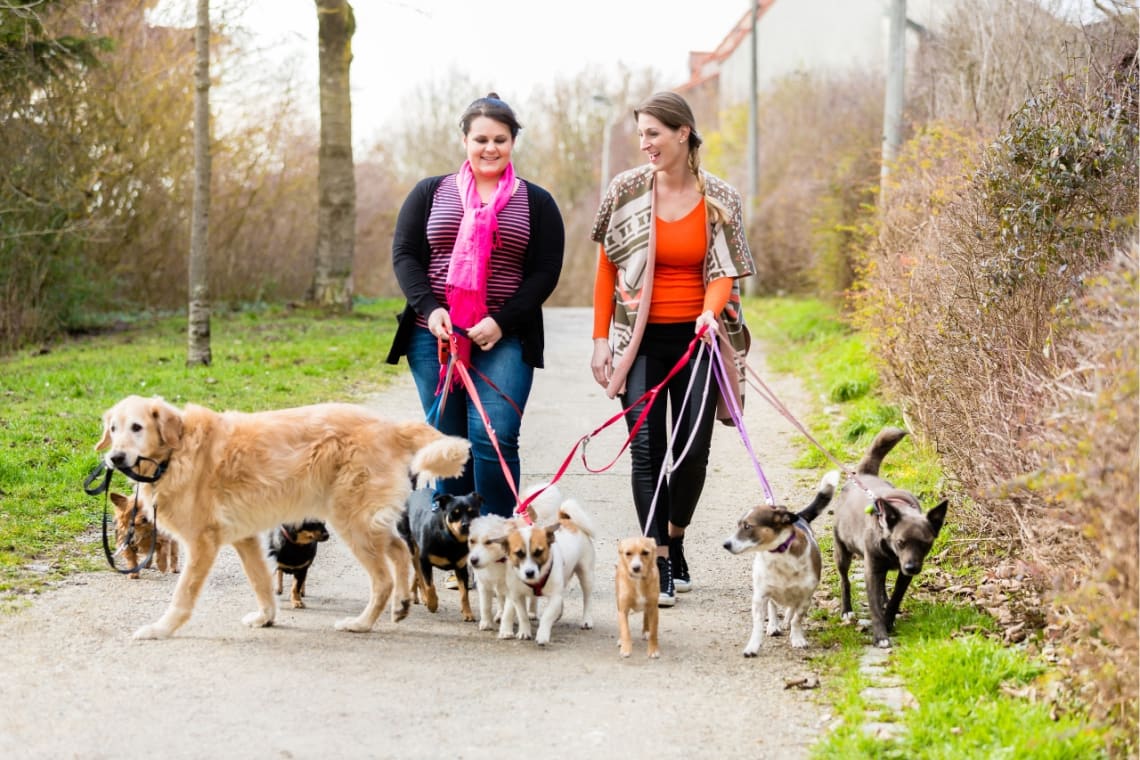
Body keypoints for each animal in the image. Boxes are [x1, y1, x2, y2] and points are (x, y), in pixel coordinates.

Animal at [399, 489, 483, 619]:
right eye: (454, 513)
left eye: (472, 511)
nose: (466, 525)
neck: (451, 540)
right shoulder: (425, 562)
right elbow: (430, 586)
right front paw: (432, 604)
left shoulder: (461, 568)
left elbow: (464, 593)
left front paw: (468, 613)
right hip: (412, 549)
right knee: (419, 575)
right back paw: (424, 598)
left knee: (417, 575)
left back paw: (416, 594)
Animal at [499, 494, 597, 647]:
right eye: (519, 553)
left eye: (539, 552)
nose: (529, 573)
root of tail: (567, 520)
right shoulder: (517, 595)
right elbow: (522, 615)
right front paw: (524, 631)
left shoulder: (554, 596)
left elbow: (546, 616)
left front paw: (542, 635)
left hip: (586, 574)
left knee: (587, 598)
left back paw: (586, 620)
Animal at [725, 471, 843, 656]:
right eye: (738, 525)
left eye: (747, 526)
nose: (726, 544)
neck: (779, 555)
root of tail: (799, 517)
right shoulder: (760, 596)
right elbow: (758, 624)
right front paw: (753, 646)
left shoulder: (805, 597)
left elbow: (797, 619)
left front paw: (797, 639)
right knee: (773, 607)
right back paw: (774, 625)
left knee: (790, 609)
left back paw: (786, 620)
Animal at [834, 428, 948, 647]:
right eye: (900, 542)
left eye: (926, 544)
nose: (912, 567)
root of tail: (863, 474)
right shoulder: (871, 571)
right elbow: (874, 607)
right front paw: (880, 636)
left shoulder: (904, 575)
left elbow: (896, 597)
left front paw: (889, 620)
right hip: (842, 552)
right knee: (844, 580)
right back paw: (847, 610)